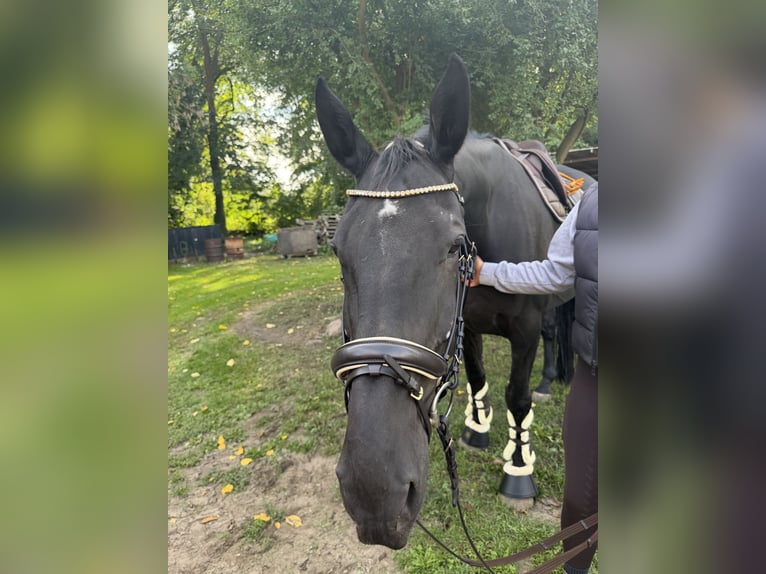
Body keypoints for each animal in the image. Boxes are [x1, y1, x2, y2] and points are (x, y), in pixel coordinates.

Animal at [317, 54, 584, 549]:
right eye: (338, 250)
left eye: (454, 246)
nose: (374, 491)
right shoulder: (468, 321)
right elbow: (476, 377)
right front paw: (476, 429)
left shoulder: (523, 328)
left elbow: (517, 396)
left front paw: (518, 469)